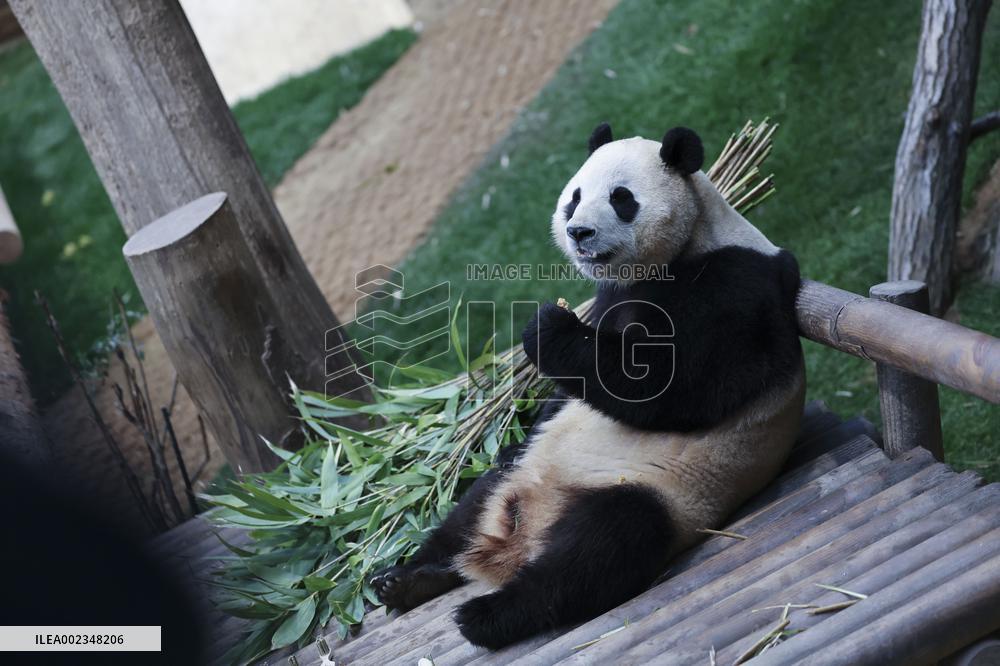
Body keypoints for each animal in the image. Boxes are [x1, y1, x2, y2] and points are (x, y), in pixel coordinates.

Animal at [371, 123, 806, 650]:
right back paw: (407, 579)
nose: (579, 232)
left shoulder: (735, 286)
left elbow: (679, 385)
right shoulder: (610, 295)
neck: (690, 244)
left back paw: (486, 616)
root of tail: (519, 543)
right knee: (470, 509)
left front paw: (547, 325)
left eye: (622, 199)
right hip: (521, 474)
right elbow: (574, 391)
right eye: (574, 199)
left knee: (598, 548)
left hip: (663, 491)